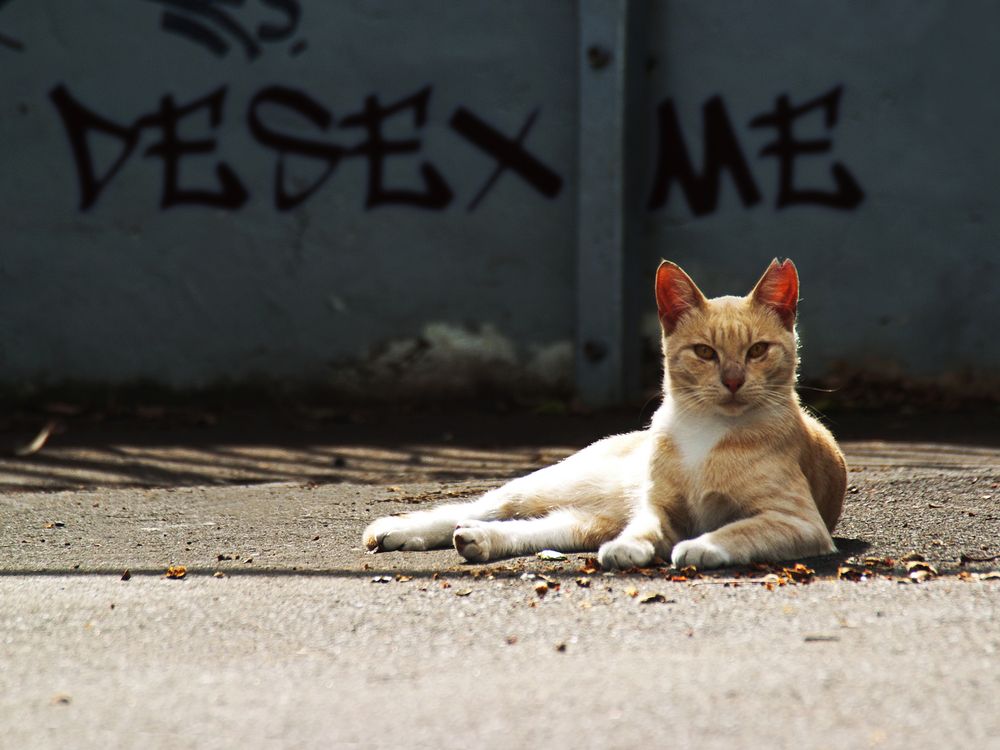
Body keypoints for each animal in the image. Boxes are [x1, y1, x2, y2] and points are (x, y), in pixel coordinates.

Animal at [360, 258, 844, 568]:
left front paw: (701, 546)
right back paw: (395, 531)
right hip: (547, 486)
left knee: (525, 528)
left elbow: (737, 530)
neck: (705, 431)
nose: (732, 380)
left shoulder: (797, 521)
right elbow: (643, 528)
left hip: (581, 522)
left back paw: (478, 540)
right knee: (477, 506)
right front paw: (633, 548)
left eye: (757, 351)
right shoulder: (656, 509)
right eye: (705, 352)